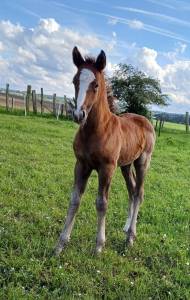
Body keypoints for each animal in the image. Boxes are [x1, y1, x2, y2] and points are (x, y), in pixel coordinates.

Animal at [55, 47, 156, 255]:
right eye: (75, 81)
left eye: (95, 84)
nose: (78, 115)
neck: (97, 130)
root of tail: (145, 120)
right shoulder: (81, 165)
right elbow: (74, 199)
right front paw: (60, 245)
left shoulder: (107, 168)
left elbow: (102, 203)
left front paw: (99, 246)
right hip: (125, 165)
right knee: (132, 190)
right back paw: (126, 228)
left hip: (143, 162)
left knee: (139, 193)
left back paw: (131, 236)